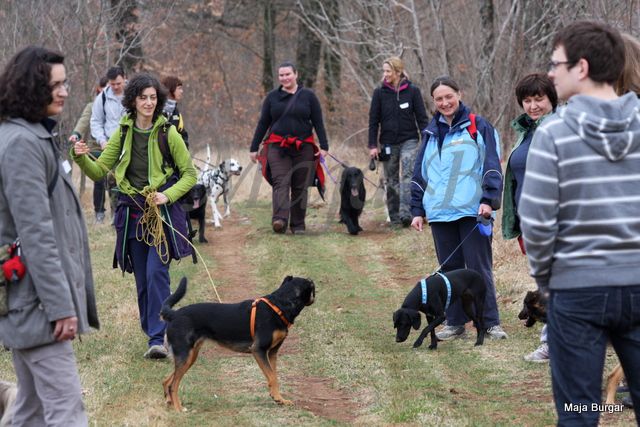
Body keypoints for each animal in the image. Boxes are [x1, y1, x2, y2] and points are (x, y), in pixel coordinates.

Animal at [160, 276, 316, 412]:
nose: (315, 298)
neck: (280, 305)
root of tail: (174, 315)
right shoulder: (258, 350)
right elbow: (272, 377)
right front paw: (277, 397)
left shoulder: (272, 352)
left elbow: (274, 376)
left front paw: (279, 398)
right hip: (185, 355)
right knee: (173, 385)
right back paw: (179, 409)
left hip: (190, 356)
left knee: (166, 381)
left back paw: (170, 404)